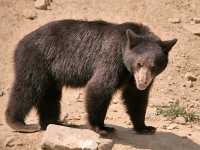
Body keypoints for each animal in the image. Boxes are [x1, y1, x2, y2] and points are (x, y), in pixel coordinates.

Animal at [5, 19, 177, 135]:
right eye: (139, 63)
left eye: (154, 66)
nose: (143, 82)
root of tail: (21, 42)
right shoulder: (111, 59)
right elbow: (99, 87)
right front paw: (101, 127)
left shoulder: (130, 77)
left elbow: (136, 97)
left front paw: (145, 127)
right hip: (36, 60)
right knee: (27, 88)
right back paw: (19, 123)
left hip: (51, 73)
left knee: (50, 96)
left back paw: (56, 122)